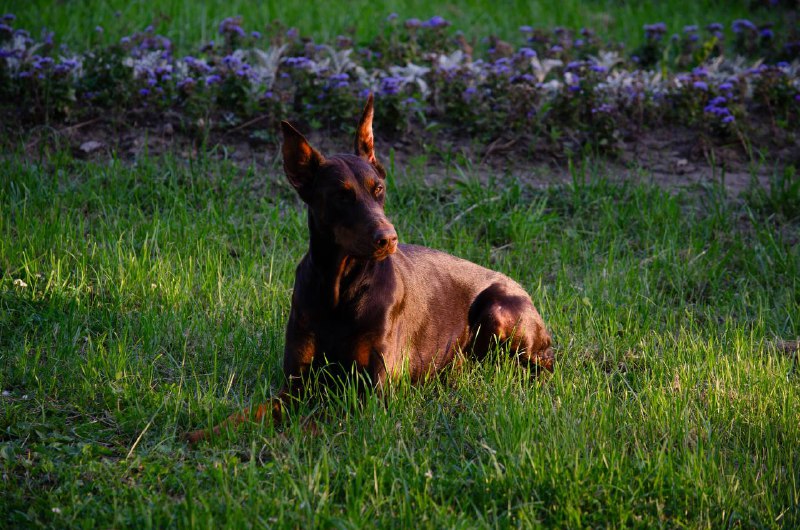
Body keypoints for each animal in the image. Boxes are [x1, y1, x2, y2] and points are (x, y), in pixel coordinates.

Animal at [185, 95, 552, 442]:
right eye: (341, 196)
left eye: (379, 189)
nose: (388, 238)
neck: (339, 287)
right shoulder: (296, 384)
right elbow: (250, 413)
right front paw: (205, 433)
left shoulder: (371, 393)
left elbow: (314, 424)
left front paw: (279, 442)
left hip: (498, 312)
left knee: (541, 365)